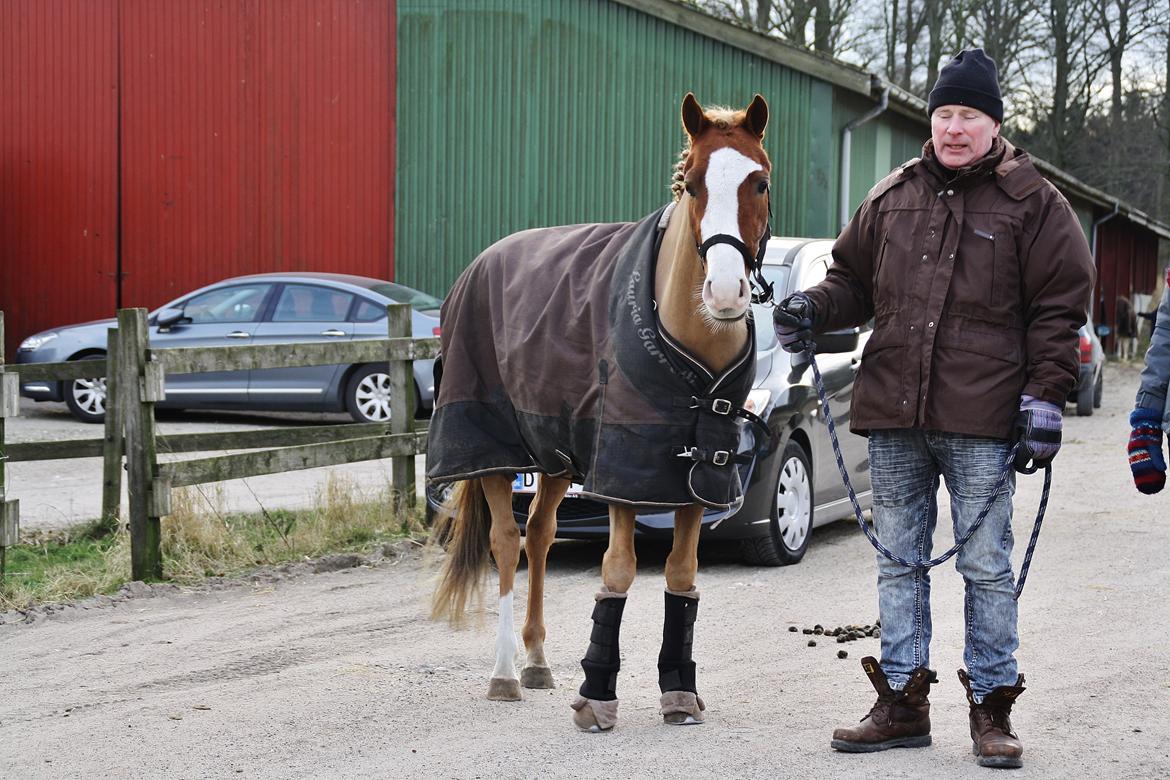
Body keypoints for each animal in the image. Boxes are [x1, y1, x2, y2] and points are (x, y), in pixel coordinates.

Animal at [425, 94, 772, 734]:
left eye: (758, 182)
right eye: (691, 185)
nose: (725, 291)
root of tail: (478, 266)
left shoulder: (695, 477)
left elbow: (682, 576)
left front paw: (679, 692)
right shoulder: (623, 477)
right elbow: (616, 572)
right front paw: (596, 696)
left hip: (555, 457)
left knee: (540, 534)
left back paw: (537, 662)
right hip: (492, 452)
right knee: (508, 541)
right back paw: (505, 673)